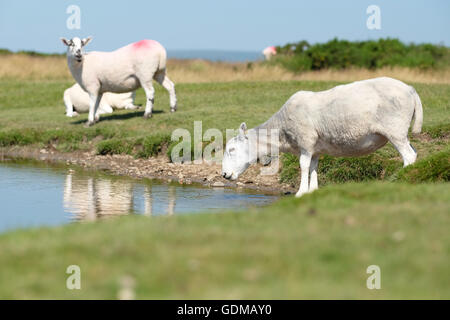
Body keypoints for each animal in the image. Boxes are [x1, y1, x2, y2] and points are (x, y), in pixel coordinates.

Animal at [223, 77, 424, 198]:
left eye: (231, 149)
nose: (224, 175)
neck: (281, 132)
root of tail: (410, 89)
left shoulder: (305, 141)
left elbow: (303, 165)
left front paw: (301, 192)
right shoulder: (315, 148)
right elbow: (313, 167)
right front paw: (312, 190)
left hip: (395, 129)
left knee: (408, 156)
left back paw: (399, 181)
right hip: (400, 131)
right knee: (413, 153)